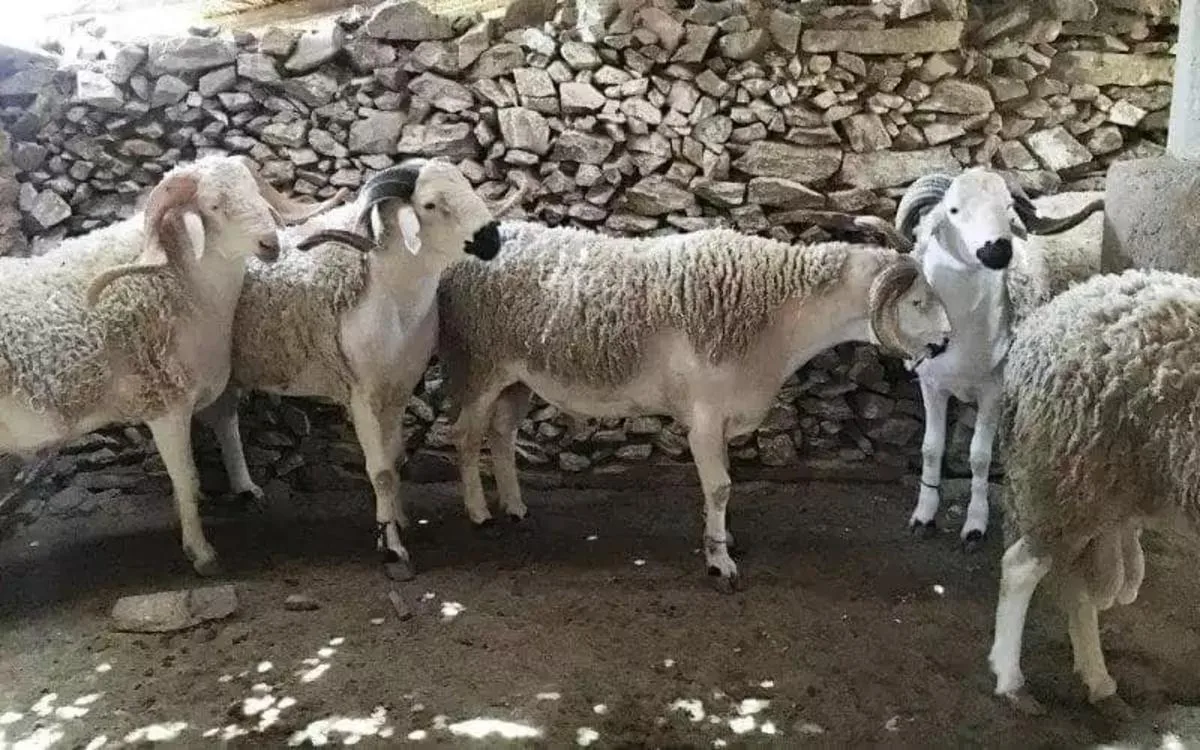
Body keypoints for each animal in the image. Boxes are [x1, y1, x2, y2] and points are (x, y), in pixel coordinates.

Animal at [0, 155, 344, 575]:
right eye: (213, 206)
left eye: (255, 191)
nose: (270, 243)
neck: (185, 282)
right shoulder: (165, 406)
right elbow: (186, 481)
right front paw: (202, 554)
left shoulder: (208, 390)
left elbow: (226, 435)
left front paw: (244, 489)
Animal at [199, 158, 505, 581]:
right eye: (429, 204)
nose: (492, 240)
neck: (389, 295)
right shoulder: (362, 394)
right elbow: (380, 471)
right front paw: (391, 548)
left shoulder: (398, 389)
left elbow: (395, 461)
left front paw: (398, 519)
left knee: (225, 417)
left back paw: (246, 490)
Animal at [436, 221, 953, 592]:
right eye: (919, 301)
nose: (947, 342)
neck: (777, 313)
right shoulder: (703, 418)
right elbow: (721, 486)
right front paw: (719, 562)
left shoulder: (720, 418)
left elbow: (720, 483)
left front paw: (722, 540)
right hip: (480, 366)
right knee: (466, 436)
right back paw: (481, 514)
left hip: (516, 379)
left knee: (502, 434)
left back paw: (515, 506)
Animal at [876, 168, 1103, 550]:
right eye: (953, 210)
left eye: (1008, 207)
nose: (998, 250)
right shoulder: (932, 385)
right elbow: (930, 448)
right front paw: (924, 514)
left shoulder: (994, 391)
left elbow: (979, 457)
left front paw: (975, 524)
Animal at [987, 268, 1200, 716]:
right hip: (1070, 472)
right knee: (1022, 566)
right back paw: (1011, 680)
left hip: (1108, 491)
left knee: (1076, 581)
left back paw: (1098, 681)